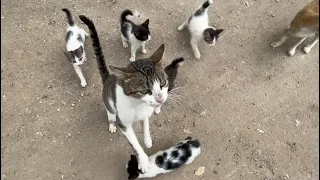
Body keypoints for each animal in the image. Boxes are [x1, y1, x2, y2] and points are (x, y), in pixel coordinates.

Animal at [78, 15, 180, 173]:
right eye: (145, 90)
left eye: (163, 83)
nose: (161, 99)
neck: (138, 104)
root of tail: (109, 77)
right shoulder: (124, 123)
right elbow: (135, 143)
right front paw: (143, 160)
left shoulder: (146, 112)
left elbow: (146, 124)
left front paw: (148, 140)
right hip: (109, 105)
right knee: (110, 115)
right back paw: (111, 124)